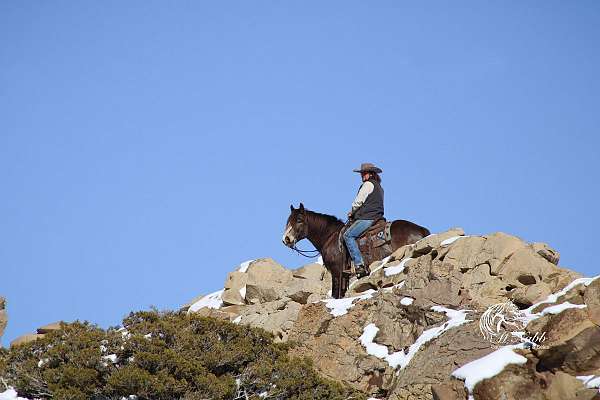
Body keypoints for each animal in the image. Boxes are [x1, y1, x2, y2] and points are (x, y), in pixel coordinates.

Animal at [284, 205, 428, 298]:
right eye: (288, 220)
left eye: (299, 220)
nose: (286, 239)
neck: (330, 237)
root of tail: (421, 230)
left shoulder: (337, 272)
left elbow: (336, 294)